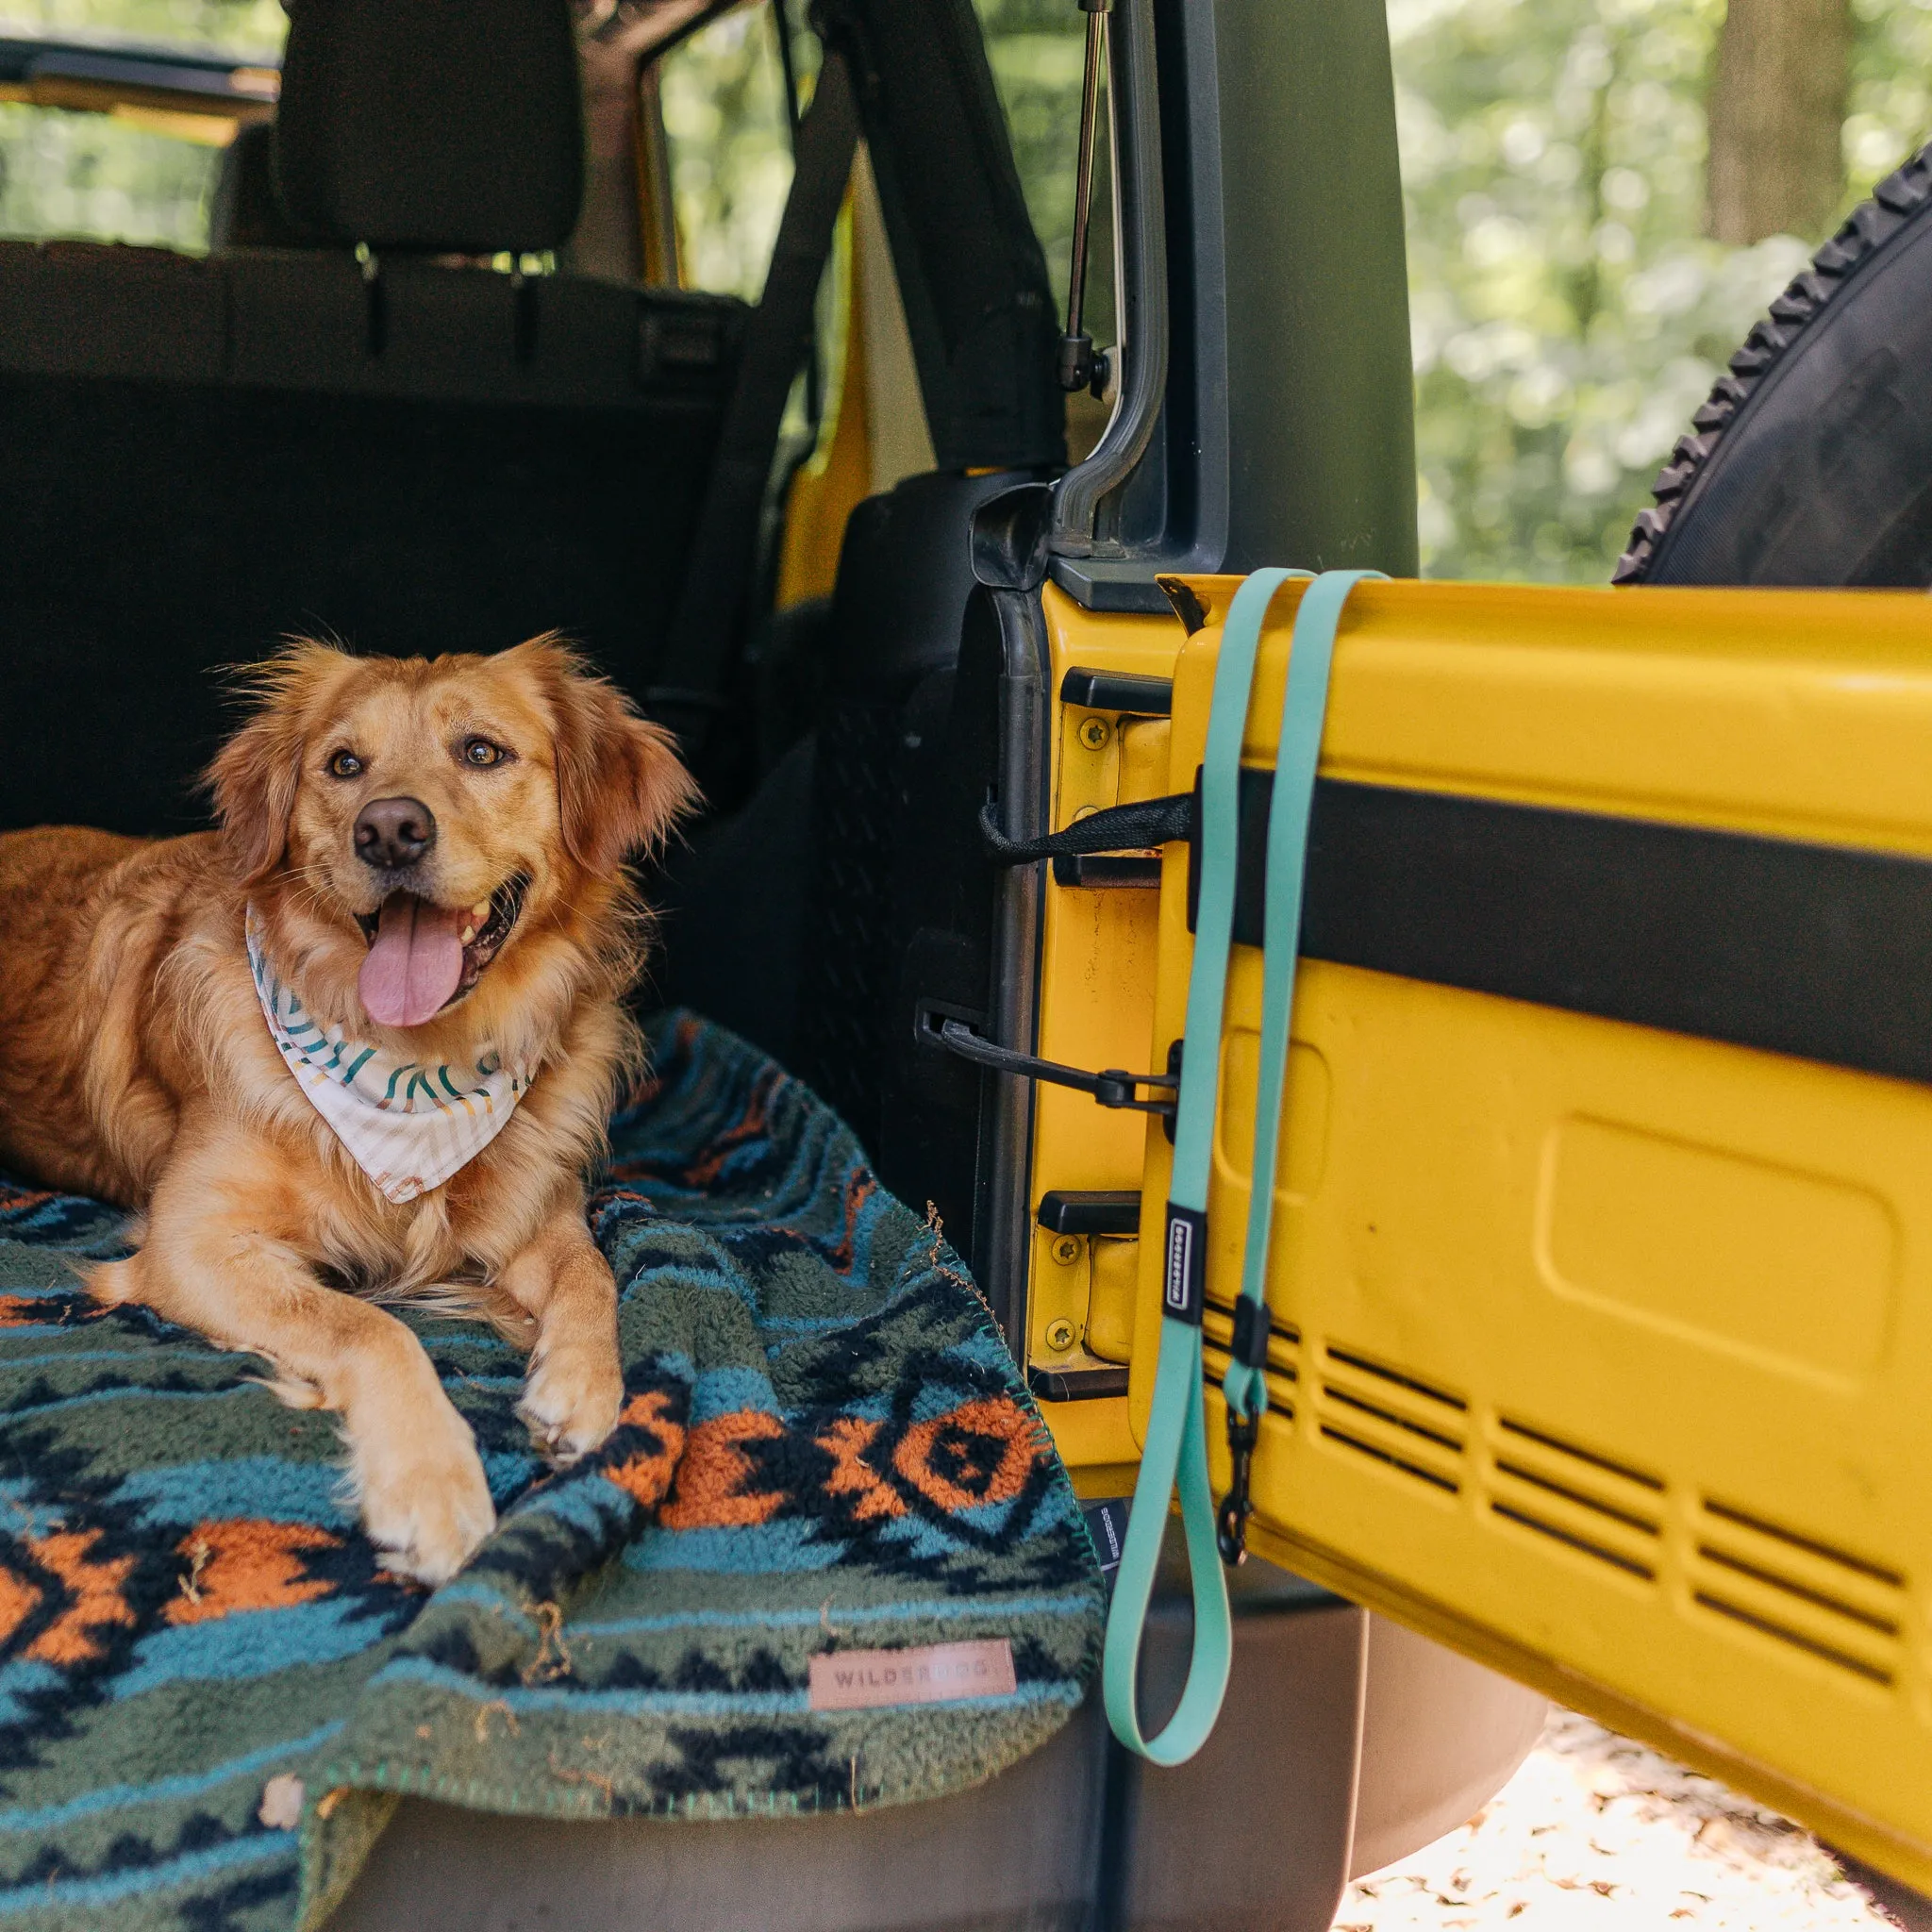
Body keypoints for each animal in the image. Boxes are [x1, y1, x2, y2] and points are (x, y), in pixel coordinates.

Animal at [0, 641, 691, 1576]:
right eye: (344, 765)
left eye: (482, 752)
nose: (389, 828)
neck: (414, 1070)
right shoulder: (189, 1244)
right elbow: (366, 1326)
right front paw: (431, 1486)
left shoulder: (530, 1206)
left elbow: (592, 1271)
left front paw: (583, 1385)